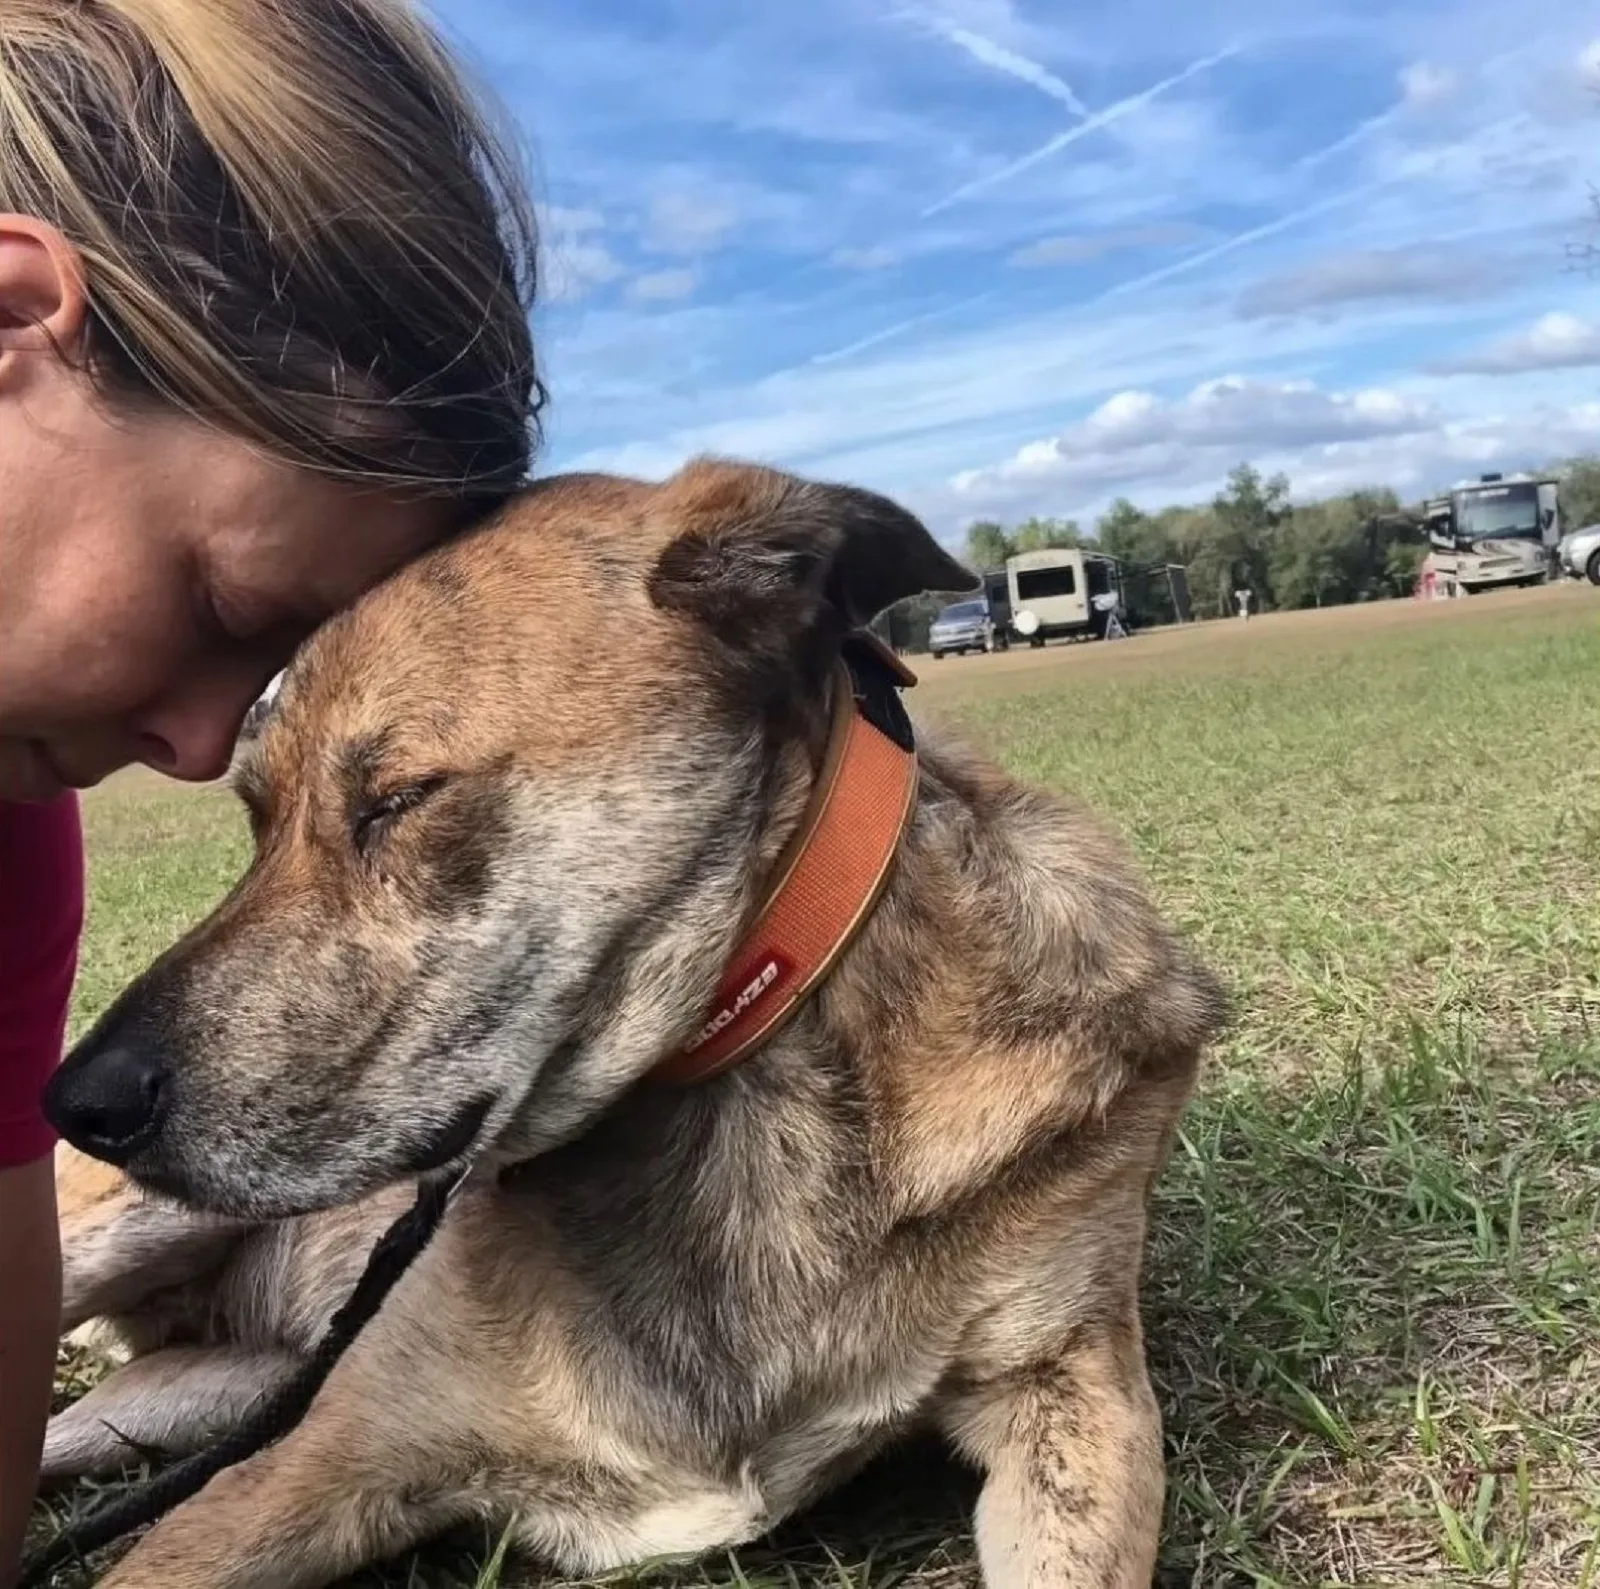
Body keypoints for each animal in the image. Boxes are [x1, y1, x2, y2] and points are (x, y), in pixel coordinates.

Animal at [46, 451, 1222, 1580]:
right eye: (257, 817)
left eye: (399, 798)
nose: (78, 1099)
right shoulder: (305, 1465)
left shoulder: (1074, 1378)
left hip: (202, 1392)